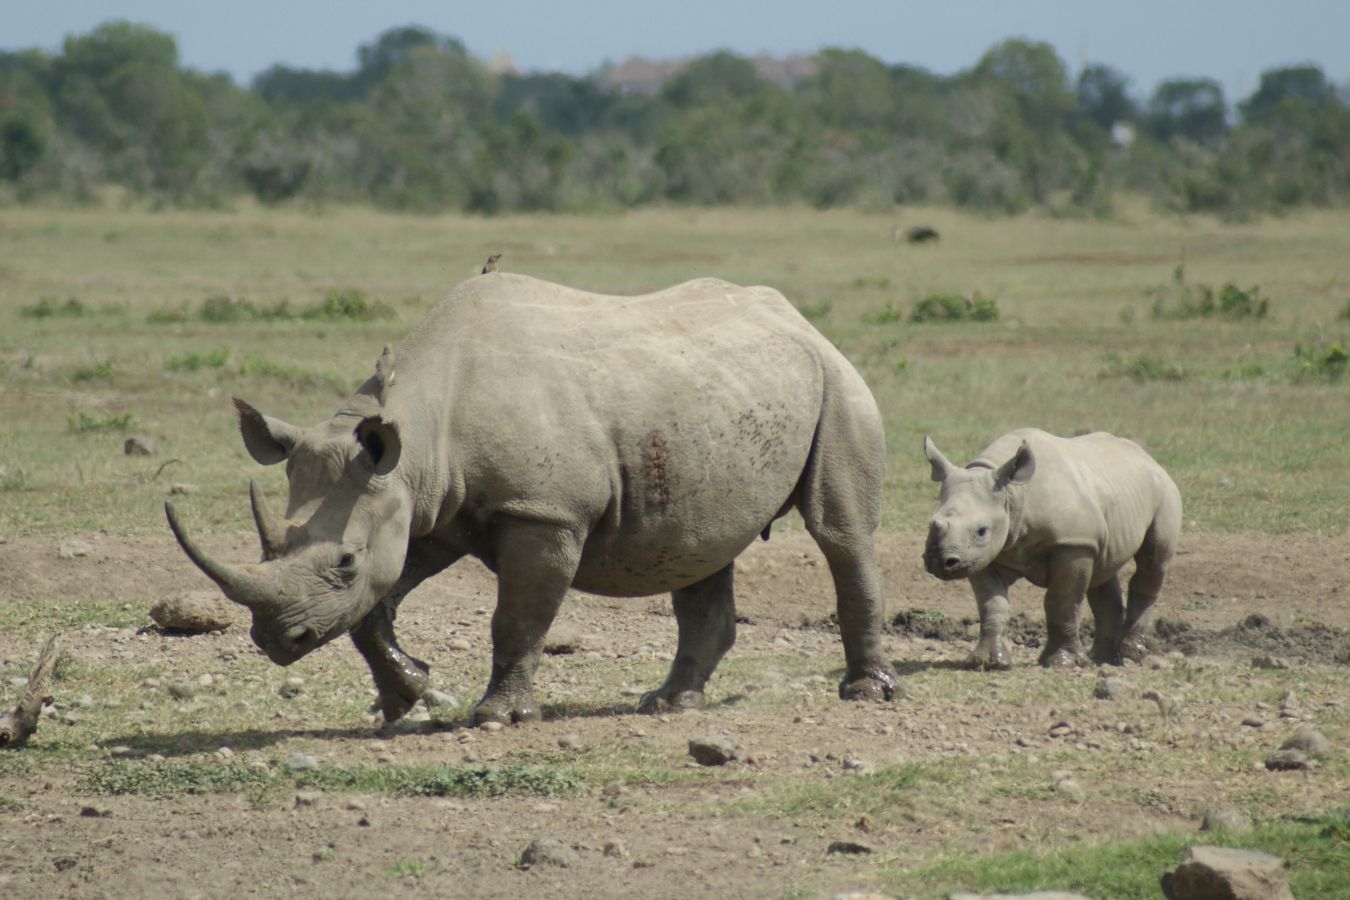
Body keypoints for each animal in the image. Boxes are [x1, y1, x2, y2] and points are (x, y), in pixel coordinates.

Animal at [171, 275, 907, 723]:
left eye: (344, 561)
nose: (276, 640)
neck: (419, 427)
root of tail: (798, 318)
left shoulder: (543, 512)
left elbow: (517, 619)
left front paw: (496, 717)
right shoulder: (425, 507)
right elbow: (372, 613)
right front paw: (405, 697)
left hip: (838, 381)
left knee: (839, 533)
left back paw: (865, 693)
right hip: (716, 399)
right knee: (701, 545)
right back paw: (669, 704)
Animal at [918, 429, 1182, 669]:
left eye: (982, 530)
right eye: (932, 524)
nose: (941, 561)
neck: (1013, 494)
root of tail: (1149, 458)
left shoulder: (1073, 543)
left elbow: (1061, 601)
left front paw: (1061, 663)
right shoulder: (981, 555)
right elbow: (992, 604)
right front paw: (987, 662)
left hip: (1164, 491)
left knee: (1153, 560)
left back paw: (1131, 654)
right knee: (1103, 570)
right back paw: (1101, 659)